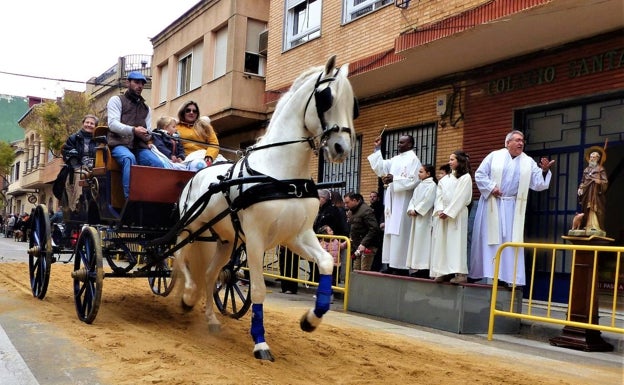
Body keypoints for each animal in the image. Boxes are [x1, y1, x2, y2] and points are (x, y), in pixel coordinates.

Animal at [174, 56, 356, 360]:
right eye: (325, 97)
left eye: (353, 103)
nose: (341, 148)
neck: (280, 174)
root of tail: (197, 173)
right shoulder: (256, 239)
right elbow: (258, 290)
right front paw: (260, 342)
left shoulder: (297, 236)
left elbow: (326, 263)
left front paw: (310, 319)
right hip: (190, 228)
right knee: (178, 257)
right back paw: (188, 295)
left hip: (225, 241)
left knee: (211, 274)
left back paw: (211, 319)